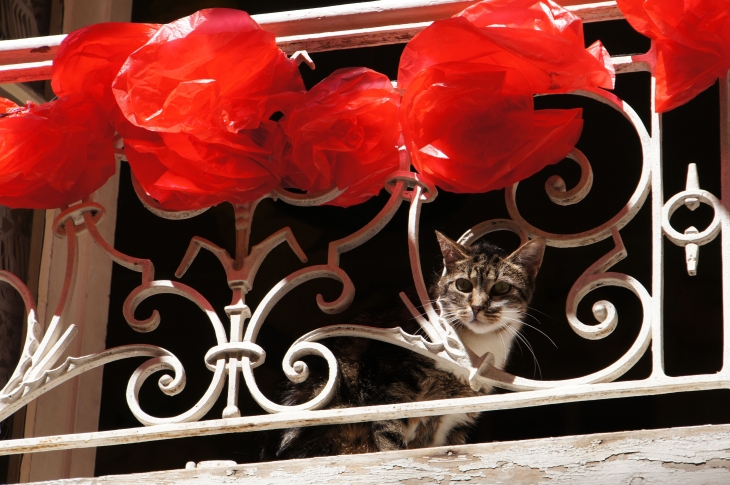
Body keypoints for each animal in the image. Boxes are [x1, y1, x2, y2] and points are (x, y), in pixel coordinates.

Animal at [260, 231, 540, 458]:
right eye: (463, 285)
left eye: (502, 287)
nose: (477, 307)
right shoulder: (391, 387)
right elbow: (390, 441)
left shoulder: (456, 417)